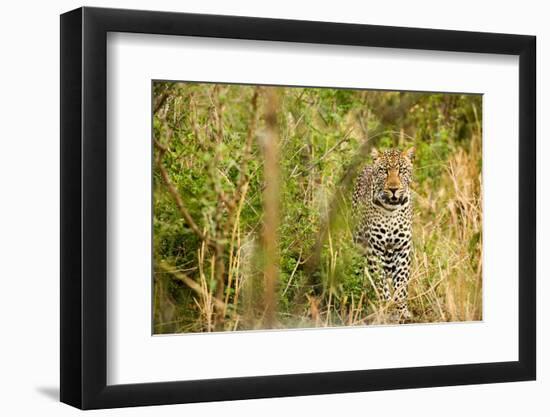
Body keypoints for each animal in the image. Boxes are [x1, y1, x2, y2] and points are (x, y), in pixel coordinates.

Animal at [356, 147, 416, 322]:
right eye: (384, 171)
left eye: (402, 170)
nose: (393, 189)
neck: (391, 211)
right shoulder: (373, 250)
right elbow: (381, 283)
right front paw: (387, 308)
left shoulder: (402, 249)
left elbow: (401, 283)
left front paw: (401, 309)